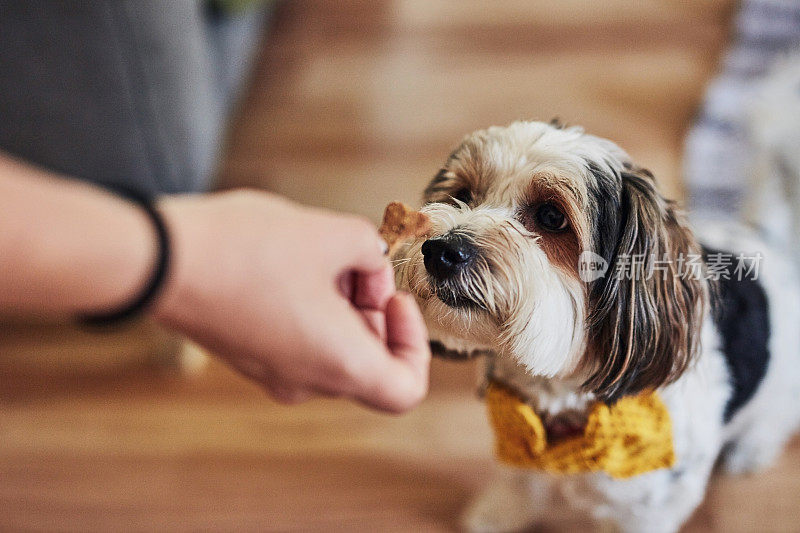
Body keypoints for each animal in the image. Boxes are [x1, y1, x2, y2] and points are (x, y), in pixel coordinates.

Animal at [390, 121, 800, 532]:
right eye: (462, 194)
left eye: (552, 216)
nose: (440, 251)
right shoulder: (519, 438)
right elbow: (519, 482)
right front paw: (498, 513)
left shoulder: (649, 510)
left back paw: (751, 448)